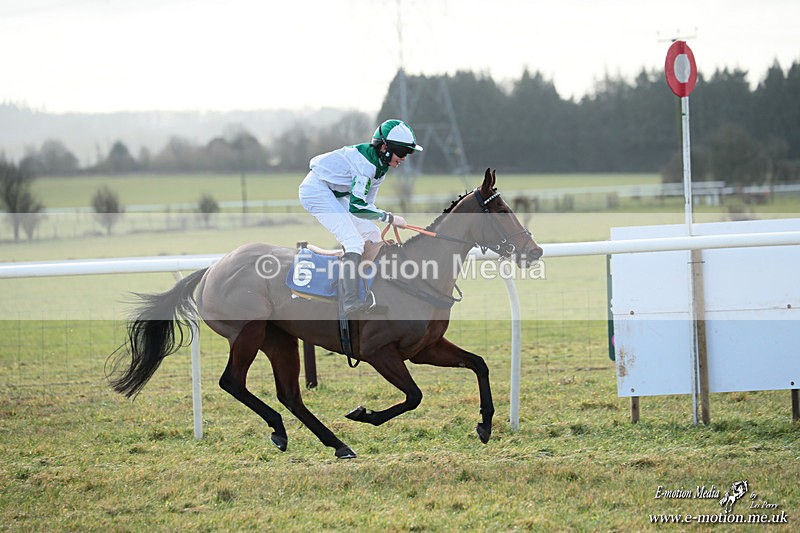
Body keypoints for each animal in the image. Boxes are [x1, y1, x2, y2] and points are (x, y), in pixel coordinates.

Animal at [109, 168, 543, 458]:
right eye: (501, 211)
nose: (534, 251)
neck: (418, 272)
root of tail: (213, 268)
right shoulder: (378, 351)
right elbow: (414, 395)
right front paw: (364, 414)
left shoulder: (425, 348)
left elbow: (479, 364)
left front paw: (485, 424)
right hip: (247, 334)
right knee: (233, 382)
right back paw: (285, 431)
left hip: (279, 338)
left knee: (290, 394)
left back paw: (334, 443)